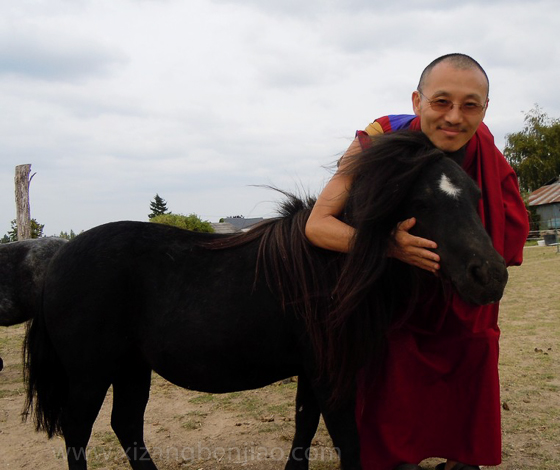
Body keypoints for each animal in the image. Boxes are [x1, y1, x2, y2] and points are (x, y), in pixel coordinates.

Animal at [22, 131, 508, 470]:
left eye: (476, 195)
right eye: (420, 201)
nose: (490, 276)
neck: (330, 269)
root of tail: (58, 259)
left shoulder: (314, 372)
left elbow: (304, 431)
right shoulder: (331, 375)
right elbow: (346, 442)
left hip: (131, 368)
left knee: (126, 426)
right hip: (90, 374)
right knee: (77, 433)